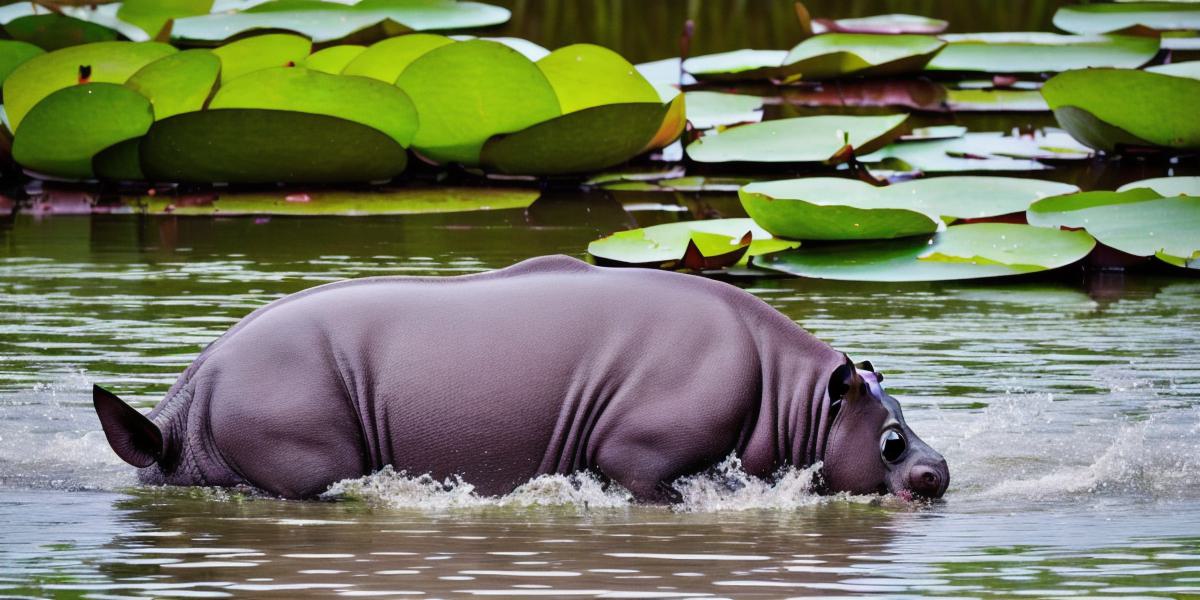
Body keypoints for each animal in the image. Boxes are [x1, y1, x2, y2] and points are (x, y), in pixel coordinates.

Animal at [93, 253, 950, 501]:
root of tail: (185, 401)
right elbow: (656, 487)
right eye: (892, 441)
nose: (939, 474)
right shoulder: (642, 455)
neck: (800, 397)